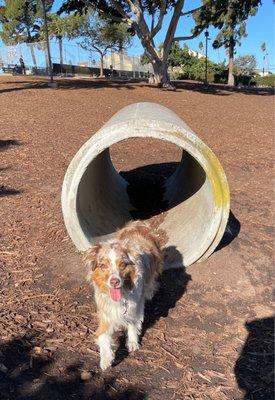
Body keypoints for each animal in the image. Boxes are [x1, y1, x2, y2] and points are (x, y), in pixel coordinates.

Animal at [85, 220, 164, 370]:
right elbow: (103, 336)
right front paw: (106, 359)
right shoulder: (105, 313)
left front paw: (133, 343)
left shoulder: (136, 307)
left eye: (122, 265)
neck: (121, 298)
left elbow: (133, 324)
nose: (114, 281)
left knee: (152, 281)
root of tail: (138, 223)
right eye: (103, 266)